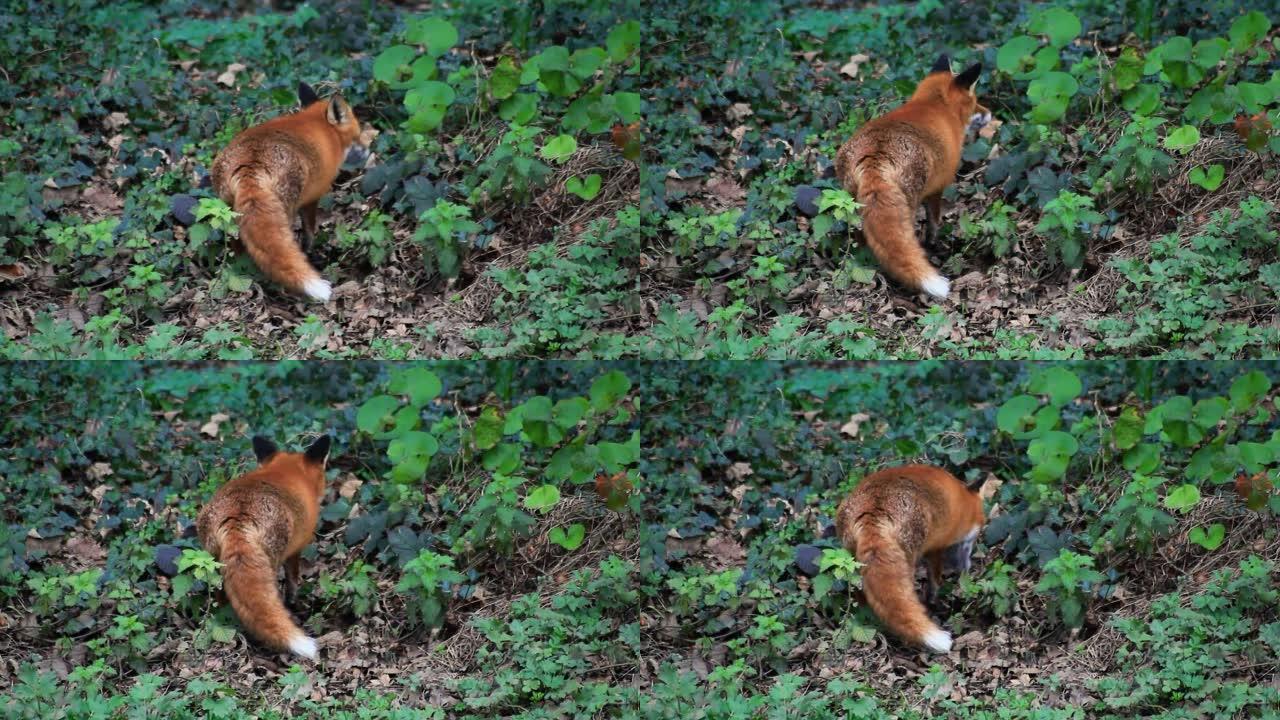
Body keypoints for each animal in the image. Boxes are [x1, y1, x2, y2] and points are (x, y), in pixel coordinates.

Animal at [195, 430, 330, 655]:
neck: (284, 474)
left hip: (214, 565)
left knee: (221, 598)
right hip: (271, 561)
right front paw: (294, 603)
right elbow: (293, 580)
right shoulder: (295, 550)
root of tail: (237, 518)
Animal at [208, 82, 360, 301]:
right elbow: (309, 232)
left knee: (239, 249)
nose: (366, 143)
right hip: (284, 210)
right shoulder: (312, 198)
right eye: (357, 128)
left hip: (230, 215)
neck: (321, 129)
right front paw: (310, 253)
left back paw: (243, 273)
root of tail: (249, 166)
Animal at [834, 53, 993, 297]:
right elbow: (934, 222)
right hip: (908, 203)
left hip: (853, 206)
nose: (989, 114)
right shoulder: (937, 188)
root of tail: (874, 157)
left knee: (864, 241)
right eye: (975, 101)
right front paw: (933, 244)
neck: (934, 105)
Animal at [834, 461, 983, 653]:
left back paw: (865, 619)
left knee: (860, 594)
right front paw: (934, 601)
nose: (966, 568)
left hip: (853, 563)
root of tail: (872, 512)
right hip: (908, 559)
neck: (959, 502)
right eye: (977, 533)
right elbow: (935, 579)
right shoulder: (936, 547)